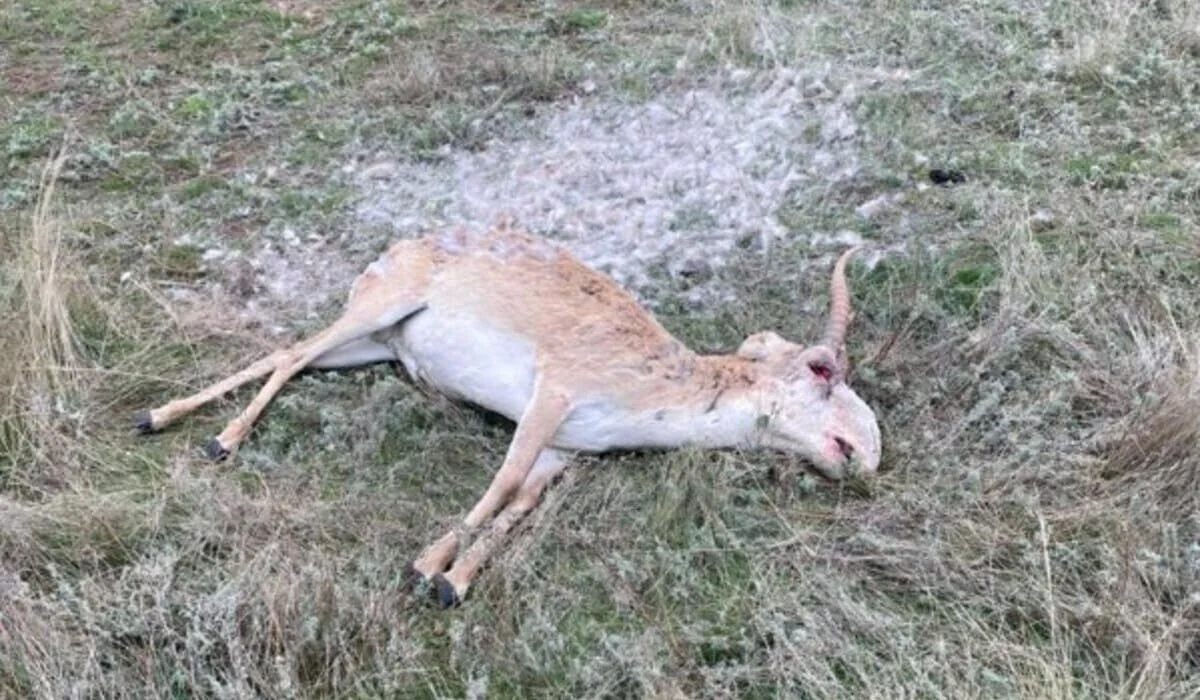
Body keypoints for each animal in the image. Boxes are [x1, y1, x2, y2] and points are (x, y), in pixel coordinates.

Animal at [138, 224, 883, 607]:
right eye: (823, 370)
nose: (868, 453)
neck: (655, 389)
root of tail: (399, 249)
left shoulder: (568, 453)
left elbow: (522, 502)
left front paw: (456, 582)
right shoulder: (549, 398)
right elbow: (501, 482)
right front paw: (426, 565)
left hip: (371, 346)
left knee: (285, 354)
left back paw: (162, 417)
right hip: (375, 313)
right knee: (292, 354)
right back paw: (218, 439)